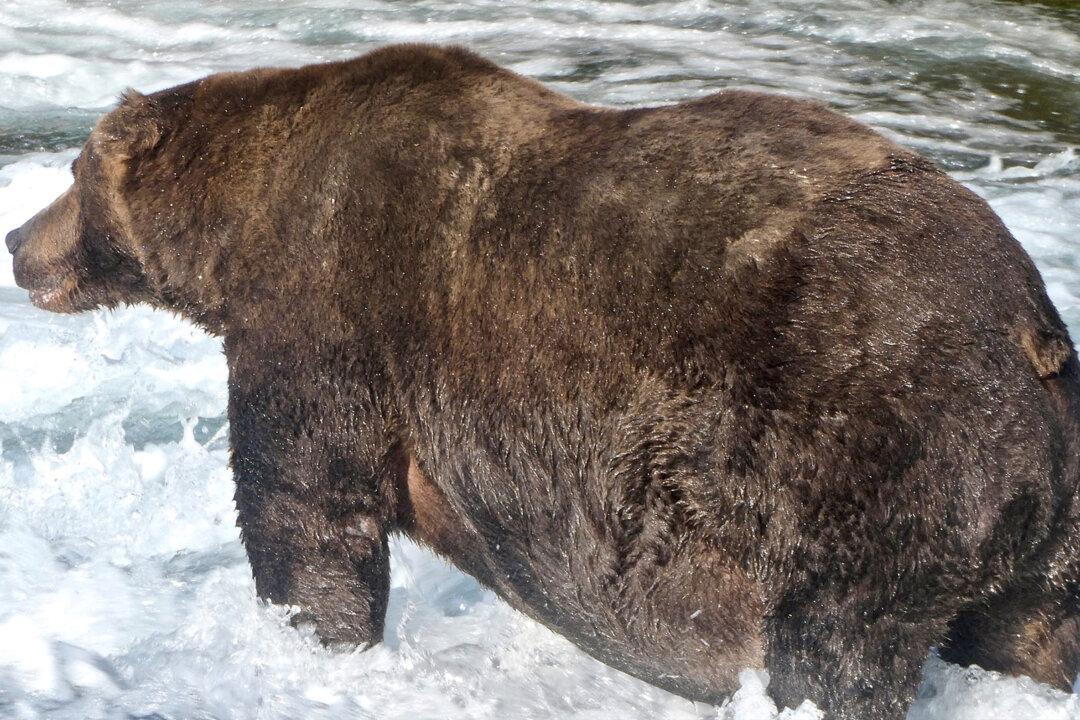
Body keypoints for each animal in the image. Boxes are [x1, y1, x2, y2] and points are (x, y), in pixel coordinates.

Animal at [6, 43, 1079, 719]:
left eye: (71, 172)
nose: (17, 240)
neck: (235, 230)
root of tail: (1030, 322)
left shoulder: (328, 305)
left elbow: (305, 508)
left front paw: (310, 639)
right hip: (1036, 497)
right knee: (1033, 629)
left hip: (868, 447)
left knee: (834, 648)